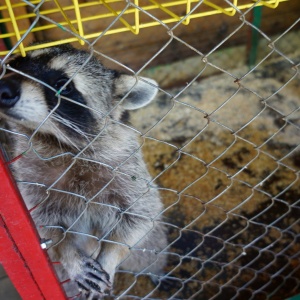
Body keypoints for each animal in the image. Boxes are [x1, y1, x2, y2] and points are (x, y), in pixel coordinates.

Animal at [0, 43, 168, 298]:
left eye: (64, 86)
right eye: (17, 64)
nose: (3, 89)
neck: (57, 141)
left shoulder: (124, 166)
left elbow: (141, 213)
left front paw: (111, 254)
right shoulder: (31, 178)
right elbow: (44, 226)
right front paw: (68, 253)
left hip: (148, 244)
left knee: (150, 249)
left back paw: (156, 269)